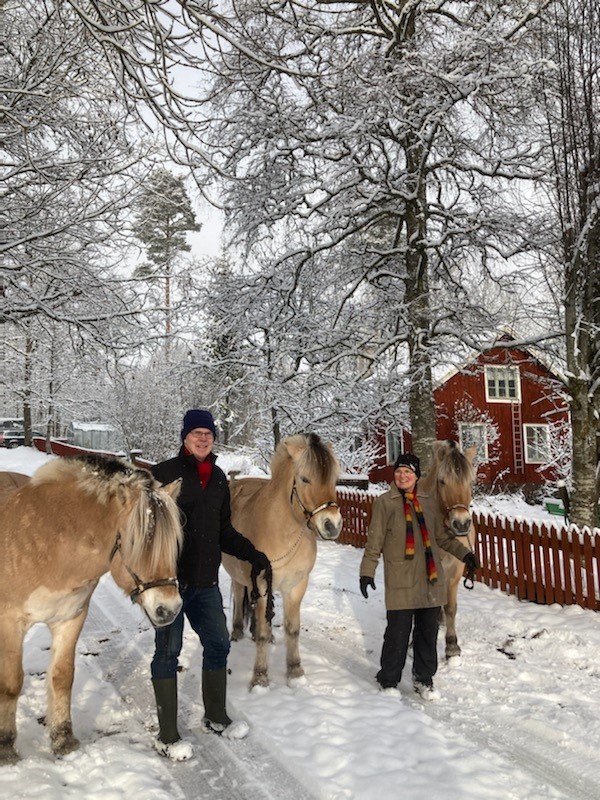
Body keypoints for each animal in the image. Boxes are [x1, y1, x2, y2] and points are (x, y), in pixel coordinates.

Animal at [0, 454, 183, 765]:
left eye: (174, 545)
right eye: (135, 542)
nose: (169, 609)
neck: (48, 539)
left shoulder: (71, 619)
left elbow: (62, 677)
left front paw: (63, 740)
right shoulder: (10, 622)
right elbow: (11, 684)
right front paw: (5, 749)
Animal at [223, 433, 343, 689]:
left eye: (334, 479)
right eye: (305, 478)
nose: (332, 525)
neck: (283, 531)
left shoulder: (296, 587)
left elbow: (292, 629)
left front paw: (295, 672)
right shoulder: (260, 582)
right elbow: (261, 631)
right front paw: (260, 677)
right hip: (239, 575)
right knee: (239, 592)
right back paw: (237, 632)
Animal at [418, 440, 477, 660]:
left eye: (471, 482)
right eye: (442, 481)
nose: (461, 524)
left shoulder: (455, 573)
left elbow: (451, 608)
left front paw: (452, 645)